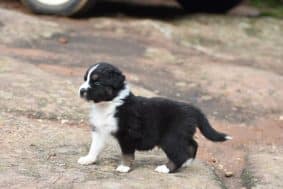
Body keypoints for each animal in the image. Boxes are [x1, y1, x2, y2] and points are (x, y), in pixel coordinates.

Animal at [77, 62, 231, 173]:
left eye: (97, 82)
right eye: (85, 79)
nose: (81, 91)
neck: (108, 104)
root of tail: (192, 109)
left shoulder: (128, 134)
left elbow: (127, 154)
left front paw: (124, 167)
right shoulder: (99, 130)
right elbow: (94, 146)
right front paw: (88, 159)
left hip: (171, 138)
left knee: (180, 154)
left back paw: (166, 168)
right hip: (181, 134)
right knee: (193, 145)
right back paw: (187, 163)